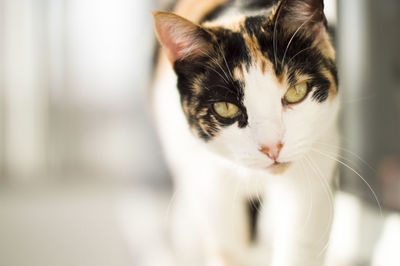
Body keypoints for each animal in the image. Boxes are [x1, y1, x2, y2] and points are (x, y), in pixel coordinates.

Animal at [152, 0, 340, 266]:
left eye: (297, 91)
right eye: (226, 108)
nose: (272, 147)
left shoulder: (314, 170)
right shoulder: (210, 183)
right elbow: (228, 250)